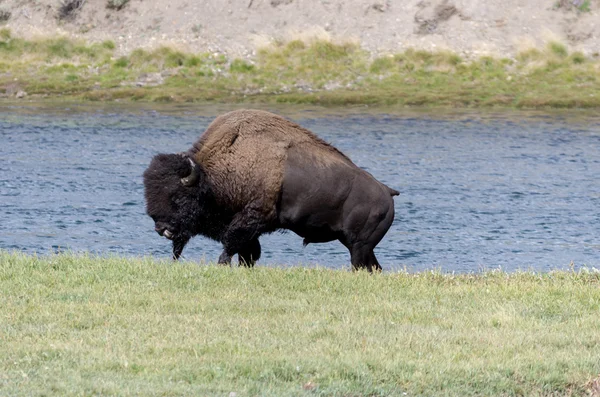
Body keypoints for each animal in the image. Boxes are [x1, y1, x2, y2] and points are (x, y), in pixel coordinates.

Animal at [142, 108, 398, 270]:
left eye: (178, 198)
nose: (161, 229)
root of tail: (387, 192)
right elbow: (247, 252)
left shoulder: (251, 218)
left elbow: (231, 246)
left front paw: (222, 264)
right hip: (357, 245)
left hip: (359, 246)